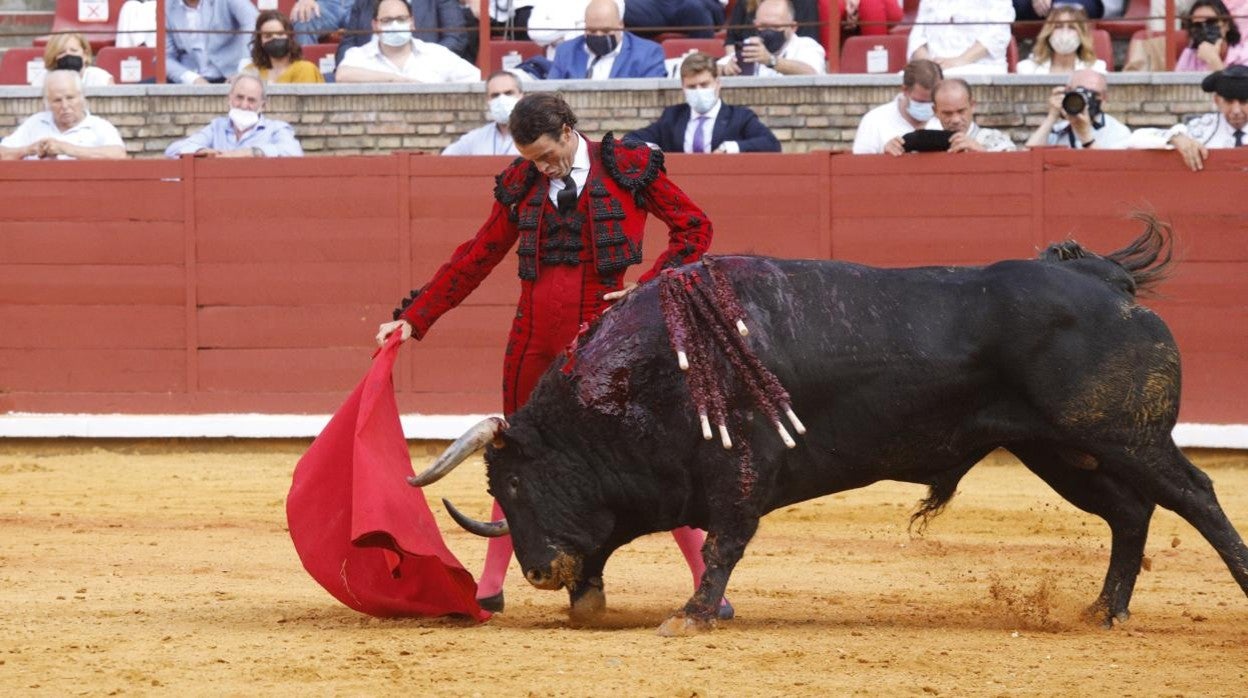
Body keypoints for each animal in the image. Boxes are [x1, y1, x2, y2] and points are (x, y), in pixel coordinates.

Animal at [411, 216, 1248, 636]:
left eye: (518, 482)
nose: (537, 570)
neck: (645, 375)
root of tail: (1104, 280)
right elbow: (622, 541)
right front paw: (591, 600)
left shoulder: (739, 474)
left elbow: (723, 544)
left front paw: (690, 616)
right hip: (1062, 450)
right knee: (1130, 514)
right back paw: (1103, 610)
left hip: (1125, 436)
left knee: (1197, 497)